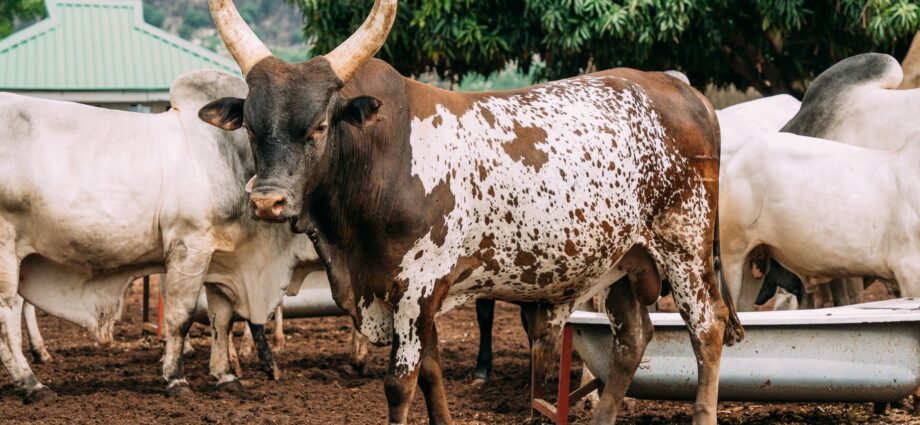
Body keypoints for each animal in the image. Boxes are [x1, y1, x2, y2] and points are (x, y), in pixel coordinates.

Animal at [0, 69, 317, 402]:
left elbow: (222, 318)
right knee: (7, 314)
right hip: (6, 249)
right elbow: (181, 316)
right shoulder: (189, 247)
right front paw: (176, 379)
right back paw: (32, 384)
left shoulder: (225, 257)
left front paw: (226, 377)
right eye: (254, 127)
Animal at [197, 1, 742, 424]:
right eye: (250, 128)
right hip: (621, 261)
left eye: (319, 127)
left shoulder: (415, 289)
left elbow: (401, 383)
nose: (267, 200)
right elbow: (432, 374)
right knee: (632, 338)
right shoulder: (418, 297)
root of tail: (682, 89)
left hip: (684, 247)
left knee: (707, 329)